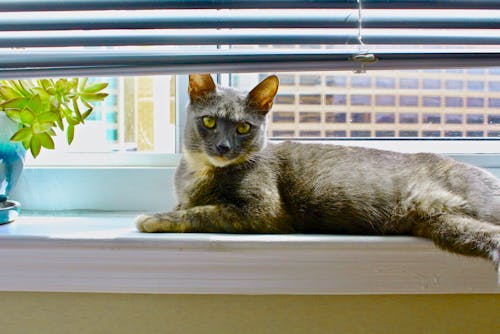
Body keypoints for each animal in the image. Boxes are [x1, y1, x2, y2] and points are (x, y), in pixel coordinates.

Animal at [136, 73, 500, 268]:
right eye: (209, 122)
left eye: (243, 128)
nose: (224, 147)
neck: (198, 172)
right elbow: (188, 205)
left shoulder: (263, 211)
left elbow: (203, 211)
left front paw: (152, 219)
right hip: (452, 227)